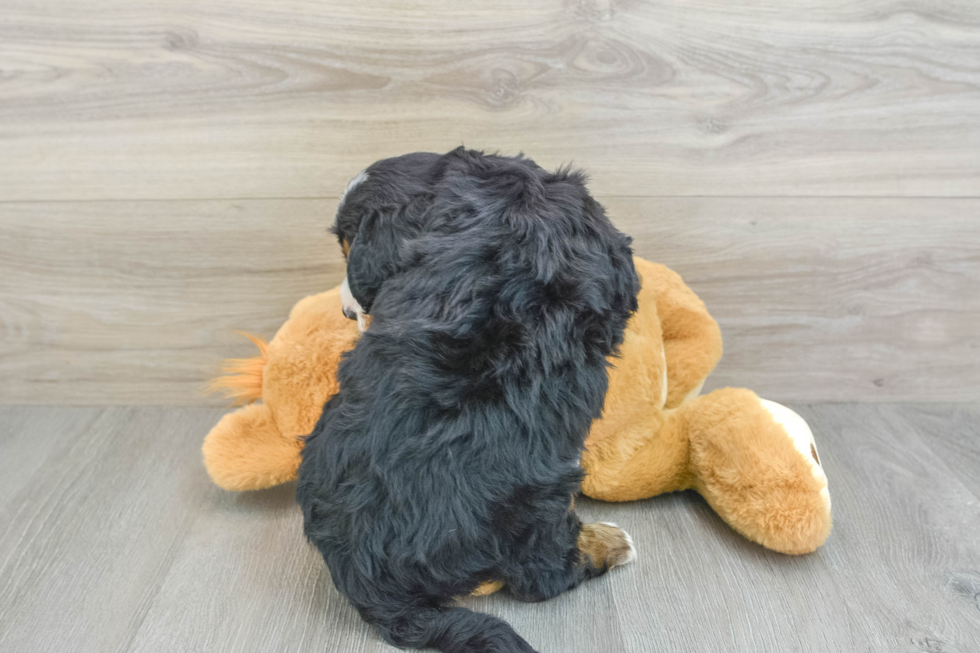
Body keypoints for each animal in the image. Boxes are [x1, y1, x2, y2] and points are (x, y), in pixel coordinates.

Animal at [294, 149, 640, 652]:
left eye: (348, 248)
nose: (343, 313)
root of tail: (364, 577)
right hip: (538, 499)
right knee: (539, 576)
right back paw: (608, 543)